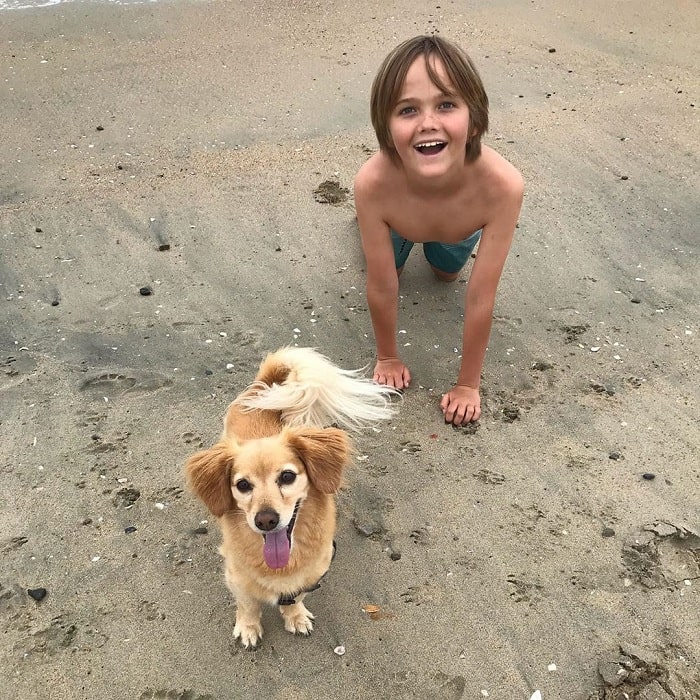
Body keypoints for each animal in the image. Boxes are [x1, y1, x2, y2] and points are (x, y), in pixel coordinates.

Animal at [183, 348, 396, 648]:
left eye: (287, 476)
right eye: (242, 484)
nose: (265, 520)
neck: (281, 566)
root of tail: (263, 386)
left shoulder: (311, 574)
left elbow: (295, 598)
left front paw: (295, 616)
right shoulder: (237, 577)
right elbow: (248, 605)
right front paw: (248, 627)